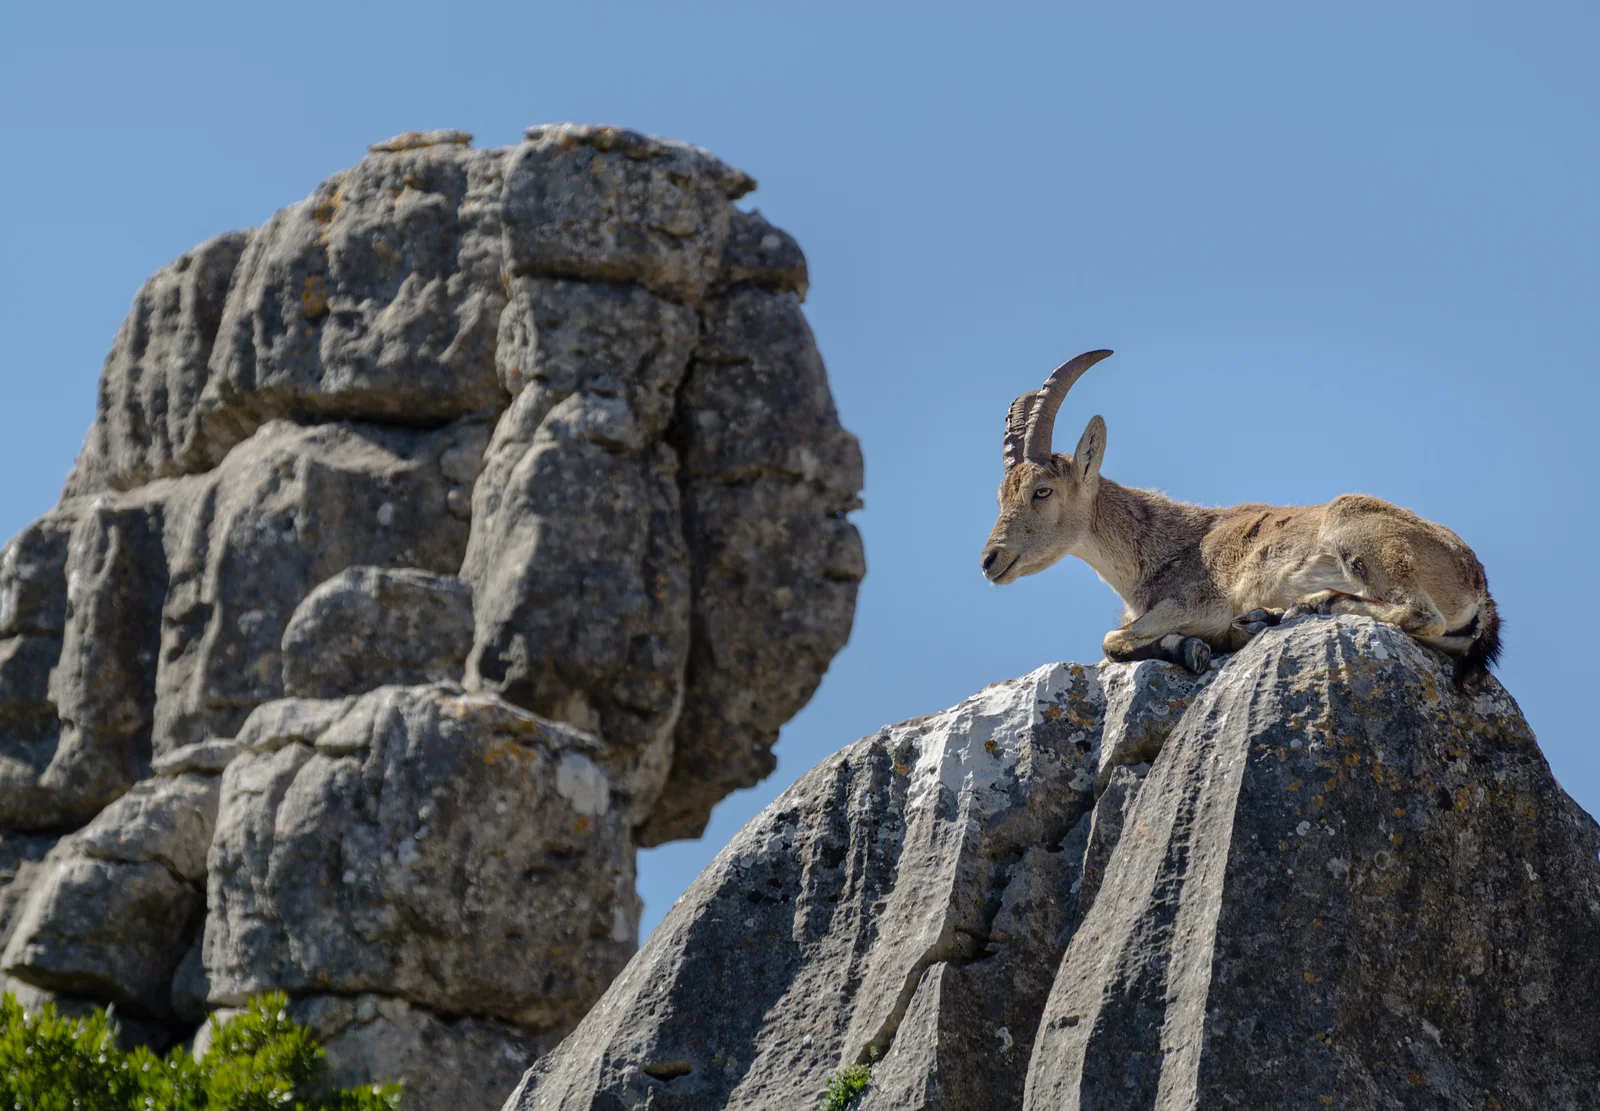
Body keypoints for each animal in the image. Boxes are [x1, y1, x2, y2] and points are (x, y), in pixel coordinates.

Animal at [980, 350, 1501, 682]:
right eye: (1001, 496)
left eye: (1042, 491)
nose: (989, 560)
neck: (1162, 548)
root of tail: (1478, 585)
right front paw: (1192, 645)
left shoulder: (1193, 602)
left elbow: (1112, 640)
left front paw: (1200, 643)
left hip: (1359, 532)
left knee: (1420, 614)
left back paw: (1307, 605)